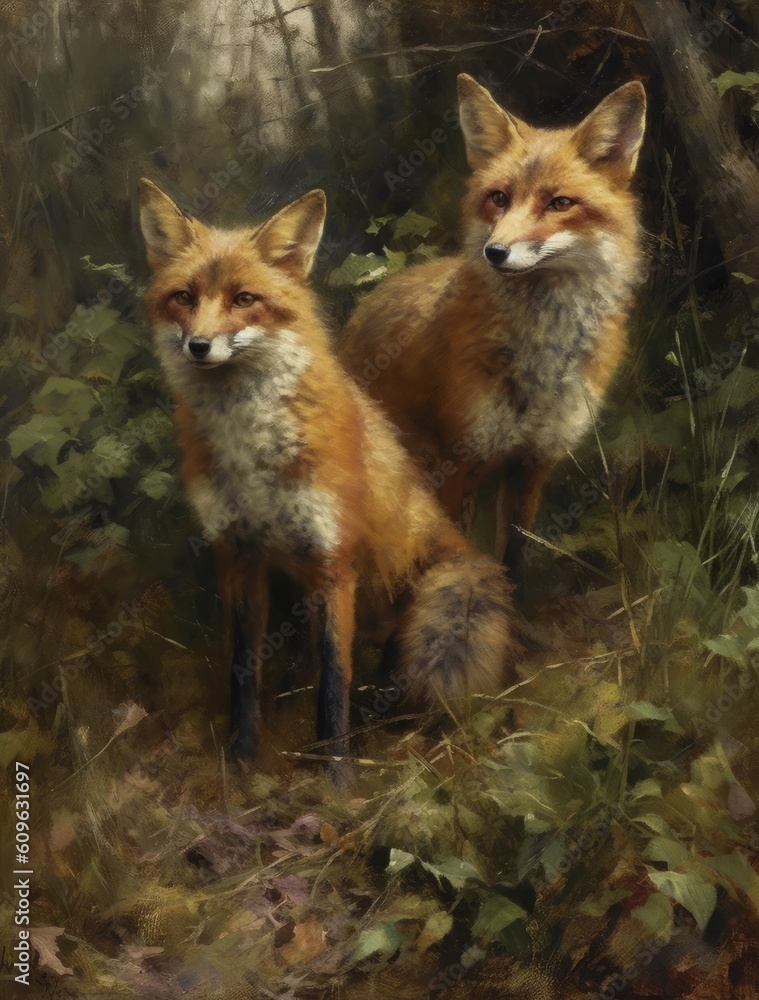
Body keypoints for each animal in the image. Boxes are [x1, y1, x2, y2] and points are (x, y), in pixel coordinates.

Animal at [138, 178, 524, 774]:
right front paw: (243, 762)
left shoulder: (333, 561)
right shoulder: (238, 555)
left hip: (436, 596)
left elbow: (334, 685)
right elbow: (243, 672)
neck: (254, 455)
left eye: (243, 299)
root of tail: (466, 551)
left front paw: (337, 777)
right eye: (184, 297)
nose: (198, 346)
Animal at [341, 74, 647, 580]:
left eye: (560, 203)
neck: (542, 357)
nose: (495, 252)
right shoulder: (456, 462)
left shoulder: (534, 460)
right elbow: (465, 561)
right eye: (499, 198)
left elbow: (515, 559)